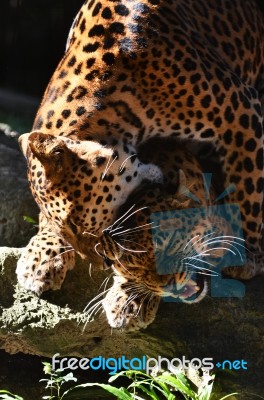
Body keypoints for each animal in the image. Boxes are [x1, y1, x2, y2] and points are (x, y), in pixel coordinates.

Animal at [17, 0, 262, 326]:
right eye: (63, 227)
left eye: (75, 222)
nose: (99, 262)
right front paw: (43, 255)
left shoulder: (242, 114)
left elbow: (248, 185)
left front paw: (248, 257)